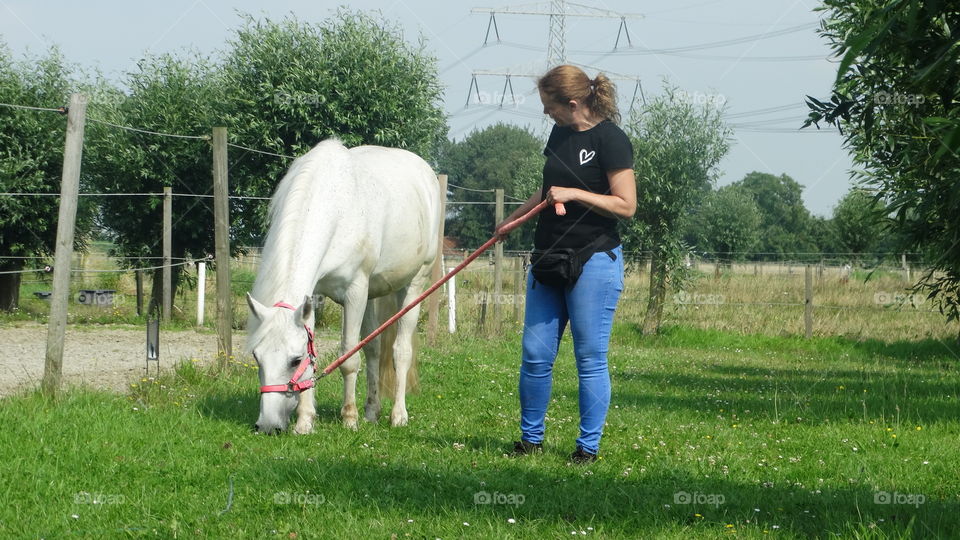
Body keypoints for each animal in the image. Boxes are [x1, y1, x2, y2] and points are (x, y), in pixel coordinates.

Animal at [245, 138, 441, 434]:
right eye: (257, 357)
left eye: (294, 360)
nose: (268, 426)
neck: (334, 207)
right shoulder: (314, 296)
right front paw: (305, 421)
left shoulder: (355, 293)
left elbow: (349, 357)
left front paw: (349, 417)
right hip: (373, 294)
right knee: (374, 348)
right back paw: (372, 410)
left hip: (412, 286)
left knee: (400, 352)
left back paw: (398, 416)